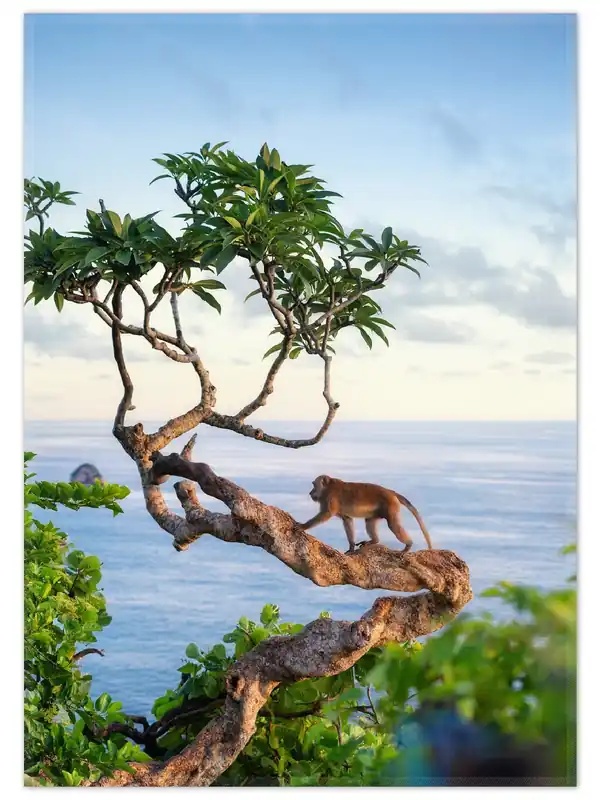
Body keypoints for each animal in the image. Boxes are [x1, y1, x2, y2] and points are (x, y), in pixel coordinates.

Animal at [300, 475, 433, 555]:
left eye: (314, 485)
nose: (310, 492)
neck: (328, 488)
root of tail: (390, 492)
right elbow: (347, 520)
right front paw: (351, 547)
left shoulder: (330, 498)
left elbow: (326, 514)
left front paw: (303, 526)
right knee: (369, 521)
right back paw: (374, 541)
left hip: (390, 506)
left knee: (393, 525)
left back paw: (408, 545)